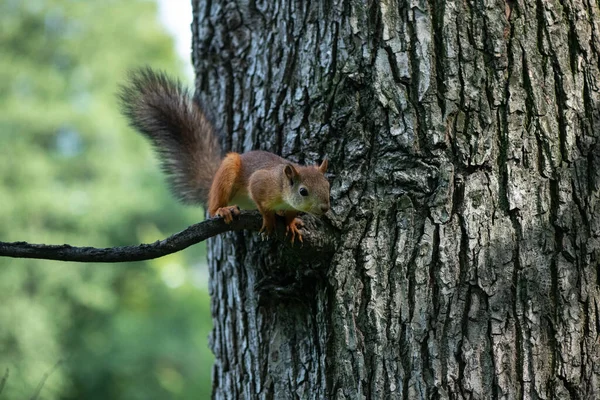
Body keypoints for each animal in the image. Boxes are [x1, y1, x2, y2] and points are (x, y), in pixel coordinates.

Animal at [119, 68, 330, 242]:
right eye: (303, 191)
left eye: (328, 185)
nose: (325, 208)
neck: (282, 188)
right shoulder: (261, 183)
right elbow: (262, 203)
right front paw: (269, 219)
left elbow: (291, 214)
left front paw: (291, 224)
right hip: (228, 171)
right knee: (213, 208)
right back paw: (222, 209)